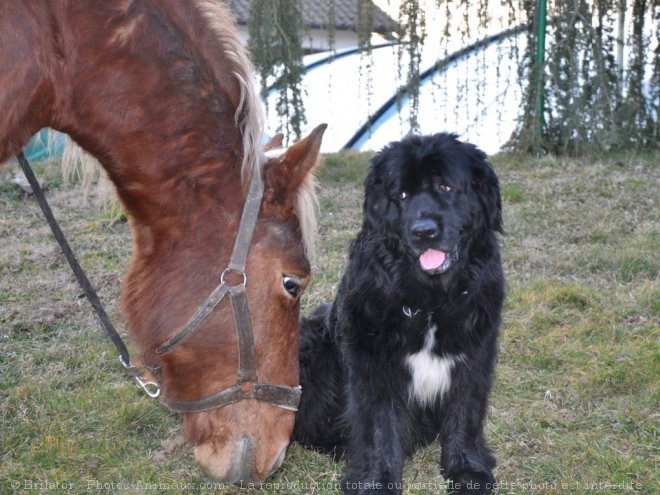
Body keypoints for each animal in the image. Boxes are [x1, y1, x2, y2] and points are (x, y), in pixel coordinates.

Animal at [294, 134, 506, 494]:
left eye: (446, 187)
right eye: (401, 196)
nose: (423, 230)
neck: (431, 303)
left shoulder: (475, 357)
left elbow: (465, 414)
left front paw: (467, 471)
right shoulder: (372, 365)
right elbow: (379, 427)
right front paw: (376, 481)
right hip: (311, 344)